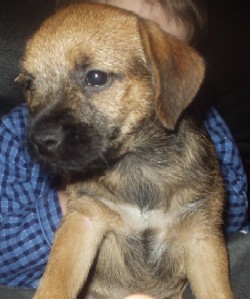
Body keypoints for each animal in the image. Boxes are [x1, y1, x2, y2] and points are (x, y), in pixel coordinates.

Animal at [18, 2, 234, 299]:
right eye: (29, 84)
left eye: (96, 77)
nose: (39, 141)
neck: (135, 163)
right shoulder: (83, 220)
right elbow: (55, 283)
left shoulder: (201, 236)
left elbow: (218, 291)